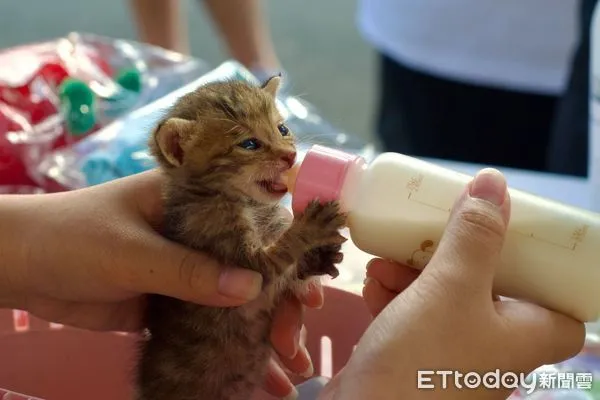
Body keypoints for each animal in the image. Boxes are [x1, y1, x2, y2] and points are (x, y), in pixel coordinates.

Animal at [134, 76, 344, 400]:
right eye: (249, 144)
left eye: (282, 129)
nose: (291, 157)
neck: (249, 203)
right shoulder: (244, 261)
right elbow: (279, 253)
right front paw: (310, 226)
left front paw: (318, 259)